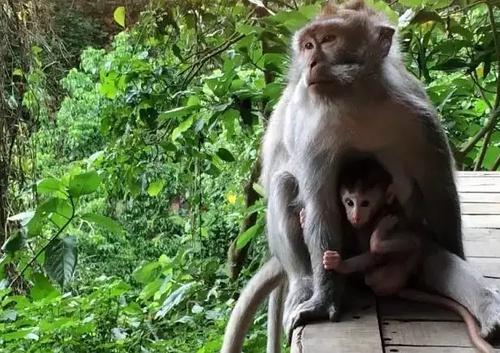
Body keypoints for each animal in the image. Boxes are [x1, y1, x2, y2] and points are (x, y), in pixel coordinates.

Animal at [223, 1, 500, 350]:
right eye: (308, 45)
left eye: (328, 39)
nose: (311, 62)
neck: (357, 101)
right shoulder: (313, 134)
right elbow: (320, 205)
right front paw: (323, 300)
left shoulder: (420, 117)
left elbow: (439, 190)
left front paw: (456, 249)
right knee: (285, 184)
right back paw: (304, 284)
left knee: (432, 256)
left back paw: (488, 310)